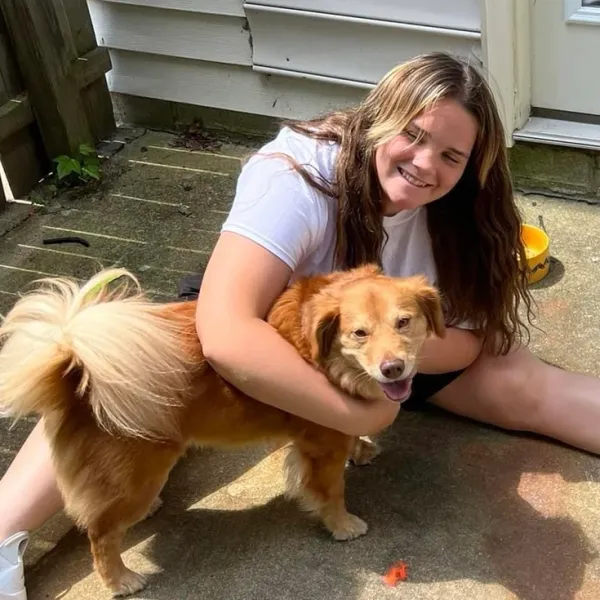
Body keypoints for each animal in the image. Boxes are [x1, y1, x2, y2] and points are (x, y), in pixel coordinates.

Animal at [0, 264, 440, 596]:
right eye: (359, 333)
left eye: (404, 322)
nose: (393, 368)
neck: (324, 348)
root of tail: (74, 368)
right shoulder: (321, 446)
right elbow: (331, 491)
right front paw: (343, 526)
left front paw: (361, 448)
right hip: (134, 475)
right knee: (100, 533)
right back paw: (120, 579)